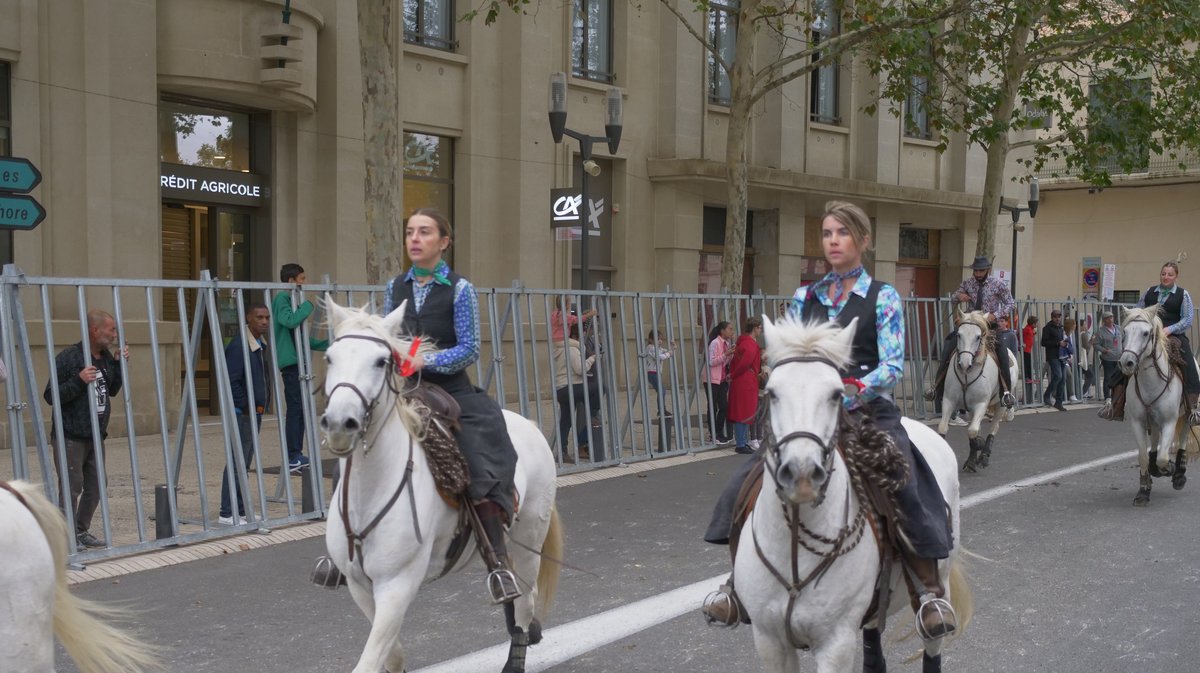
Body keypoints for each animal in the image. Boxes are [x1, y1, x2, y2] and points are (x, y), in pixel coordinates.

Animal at [319, 296, 561, 671]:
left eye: (381, 361)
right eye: (330, 357)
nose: (339, 424)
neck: (370, 490)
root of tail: (531, 425)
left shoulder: (397, 584)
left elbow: (371, 660)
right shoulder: (361, 586)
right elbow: (392, 655)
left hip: (530, 539)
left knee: (525, 603)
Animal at [739, 316, 974, 671]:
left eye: (836, 394)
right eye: (772, 392)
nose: (802, 474)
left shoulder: (835, 644)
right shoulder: (770, 641)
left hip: (939, 587)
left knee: (933, 638)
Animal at [940, 311, 1017, 472]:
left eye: (977, 337)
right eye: (959, 335)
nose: (964, 364)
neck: (967, 374)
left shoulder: (981, 404)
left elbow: (972, 431)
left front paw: (979, 447)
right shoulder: (949, 401)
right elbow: (944, 428)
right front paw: (970, 459)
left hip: (1000, 405)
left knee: (993, 427)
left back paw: (984, 455)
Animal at [1113, 305, 1190, 503]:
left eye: (1146, 333)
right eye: (1124, 331)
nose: (1126, 363)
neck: (1151, 383)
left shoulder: (1169, 421)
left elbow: (1163, 457)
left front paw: (1169, 468)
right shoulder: (1138, 422)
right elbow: (1143, 457)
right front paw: (1143, 491)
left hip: (1188, 413)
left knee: (1183, 437)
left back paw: (1179, 474)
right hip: (1153, 420)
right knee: (1155, 439)